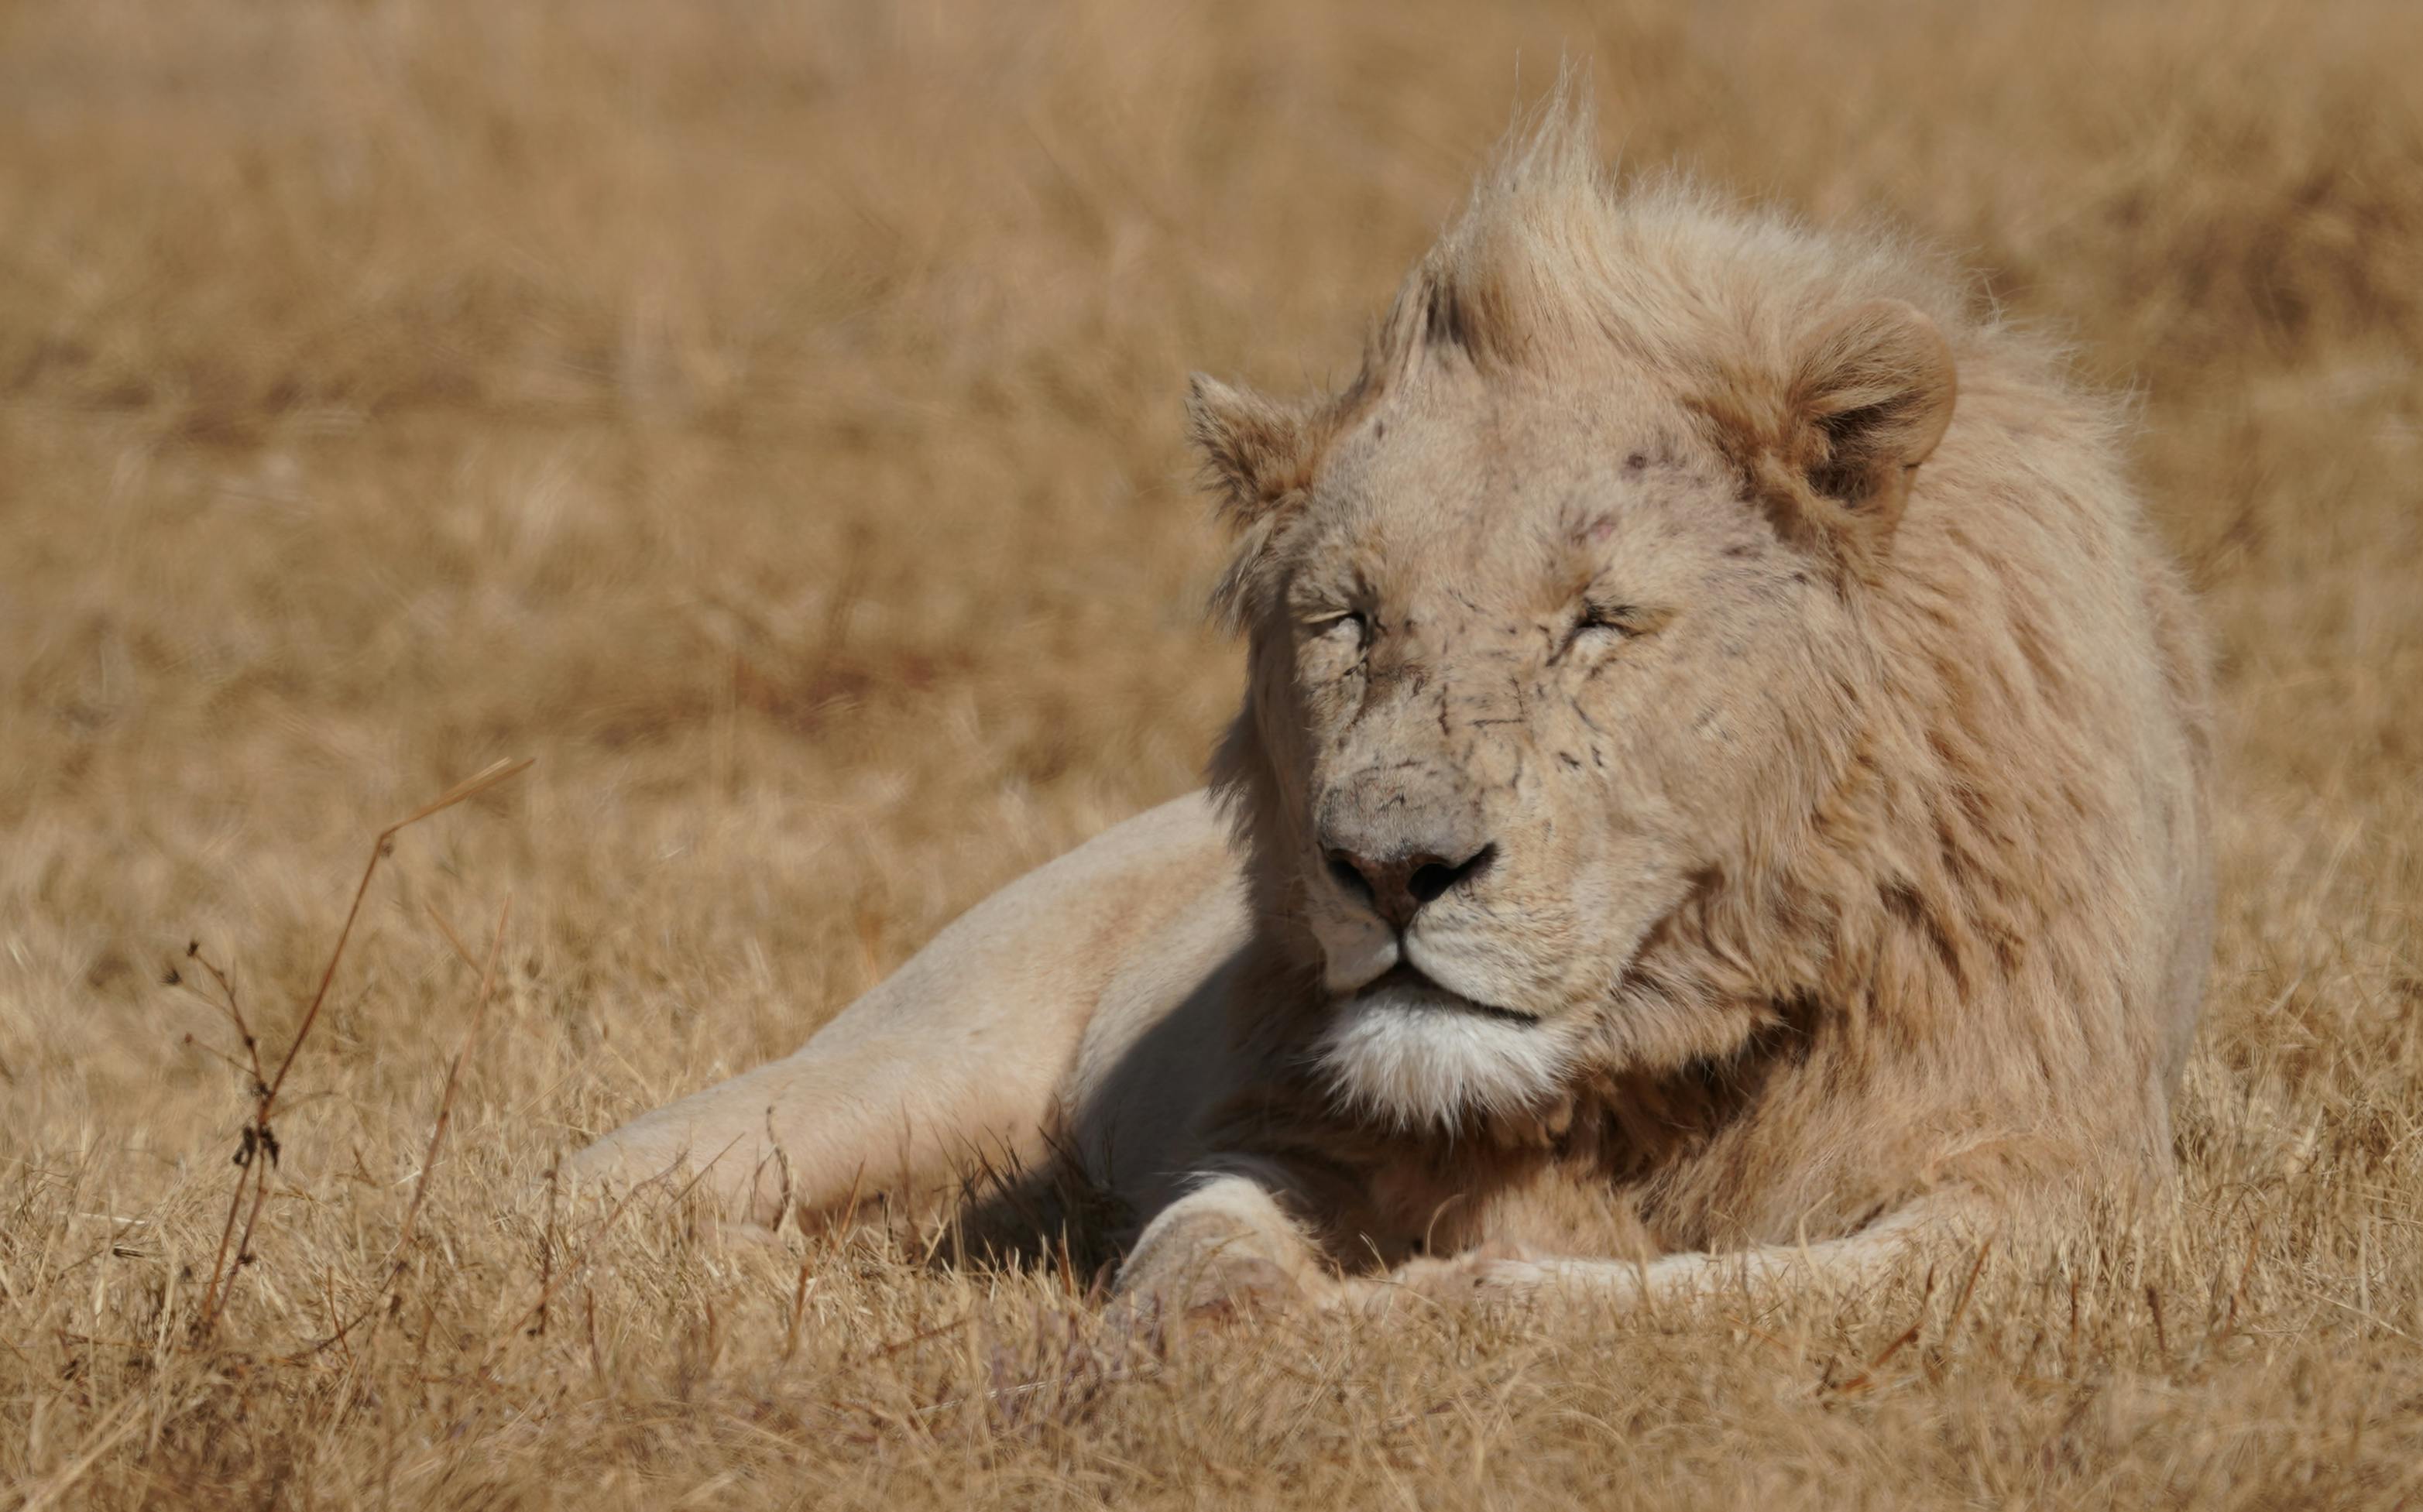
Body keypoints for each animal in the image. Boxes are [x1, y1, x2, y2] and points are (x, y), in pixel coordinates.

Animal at [571, 100, 2219, 1318]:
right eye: (1349, 619)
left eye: (1593, 623)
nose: (1387, 868)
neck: (1654, 1068)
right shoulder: (1277, 1122)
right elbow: (1205, 1243)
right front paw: (1213, 1327)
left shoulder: (2047, 1188)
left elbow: (1643, 1294)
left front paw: (1405, 1312)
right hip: (899, 1068)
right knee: (594, 1180)